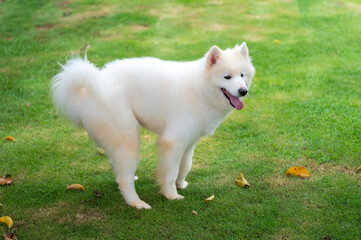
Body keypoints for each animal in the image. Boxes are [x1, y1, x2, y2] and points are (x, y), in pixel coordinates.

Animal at [51, 42, 253, 208]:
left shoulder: (189, 141)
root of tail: (84, 95)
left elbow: (185, 165)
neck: (199, 89)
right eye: (227, 77)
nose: (243, 91)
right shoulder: (173, 141)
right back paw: (137, 203)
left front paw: (181, 184)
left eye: (242, 75)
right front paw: (171, 194)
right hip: (128, 138)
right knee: (124, 180)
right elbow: (171, 171)